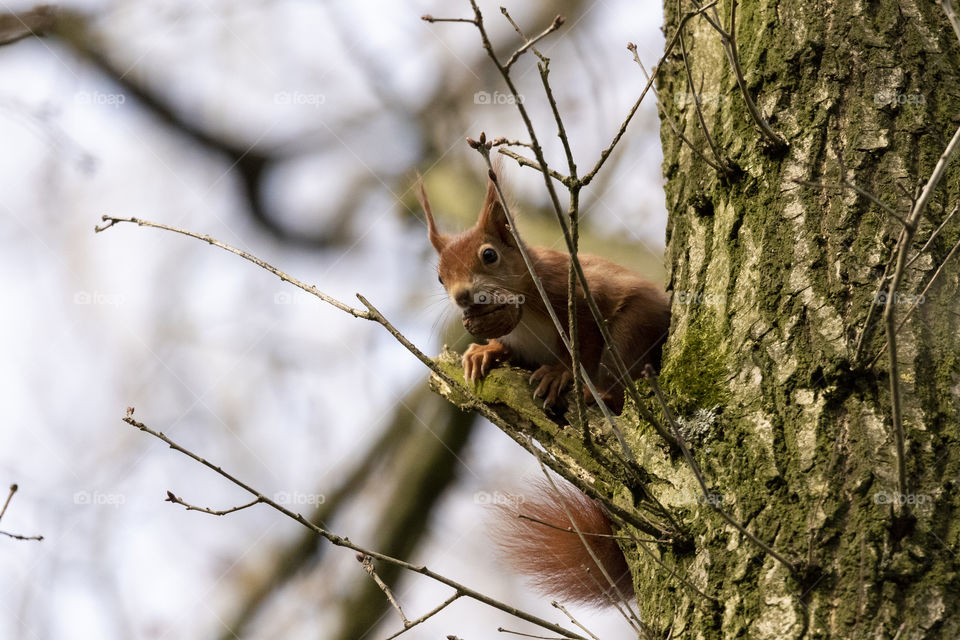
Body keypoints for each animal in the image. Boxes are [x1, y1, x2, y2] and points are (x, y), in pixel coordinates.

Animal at [416, 172, 672, 608]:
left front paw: (560, 373)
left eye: (489, 255)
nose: (462, 296)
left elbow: (583, 341)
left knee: (617, 368)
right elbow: (506, 350)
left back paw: (600, 394)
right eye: (438, 276)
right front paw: (484, 352)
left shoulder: (575, 295)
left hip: (633, 330)